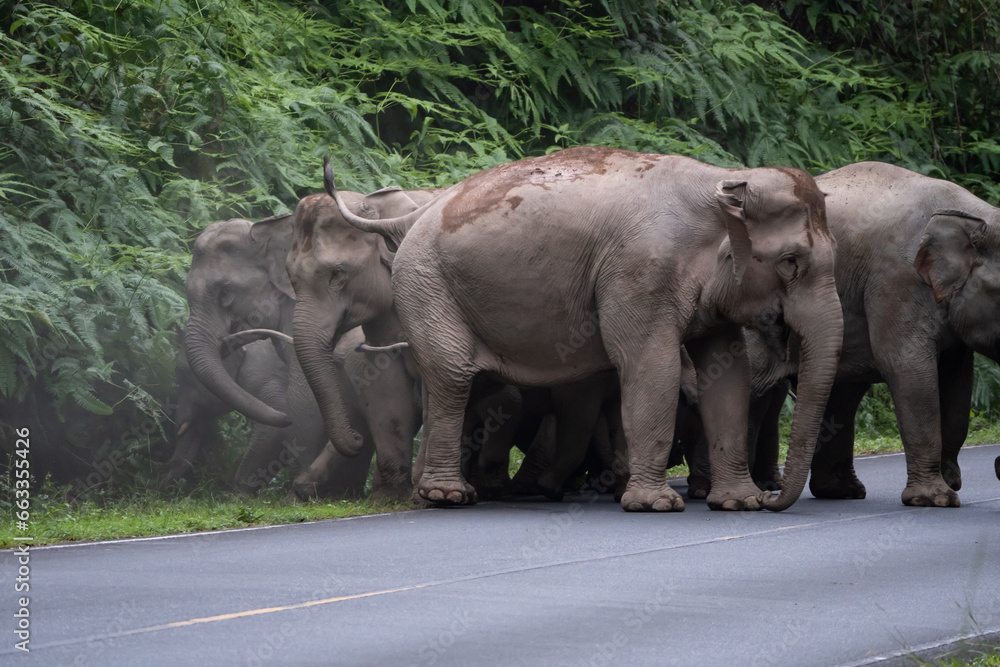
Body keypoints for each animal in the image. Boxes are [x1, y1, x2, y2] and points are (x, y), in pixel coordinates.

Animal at [331, 145, 843, 512]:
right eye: (791, 262)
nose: (773, 499)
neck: (721, 180)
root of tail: (422, 213)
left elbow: (727, 374)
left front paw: (738, 504)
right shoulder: (638, 272)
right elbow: (650, 365)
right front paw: (655, 506)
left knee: (467, 384)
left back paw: (430, 494)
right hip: (425, 284)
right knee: (454, 374)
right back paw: (448, 497)